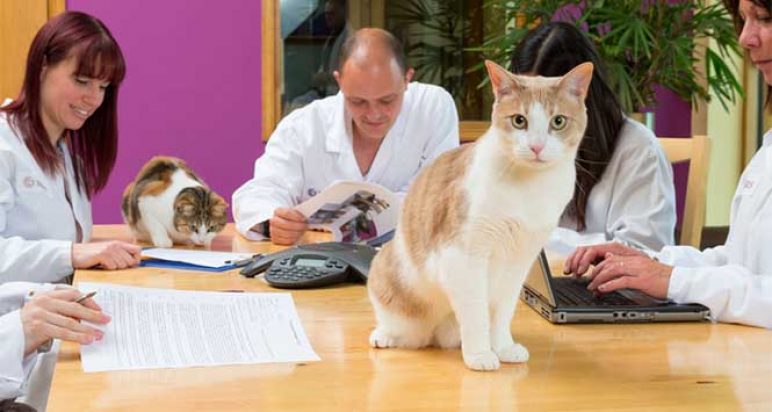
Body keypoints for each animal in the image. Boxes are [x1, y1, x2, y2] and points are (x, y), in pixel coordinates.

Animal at [366, 60, 592, 370]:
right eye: (519, 120)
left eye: (558, 121)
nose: (536, 147)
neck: (529, 188)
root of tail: (431, 336)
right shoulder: (464, 257)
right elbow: (475, 312)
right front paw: (480, 354)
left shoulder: (519, 262)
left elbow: (502, 312)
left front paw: (503, 347)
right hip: (388, 273)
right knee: (398, 325)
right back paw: (385, 335)